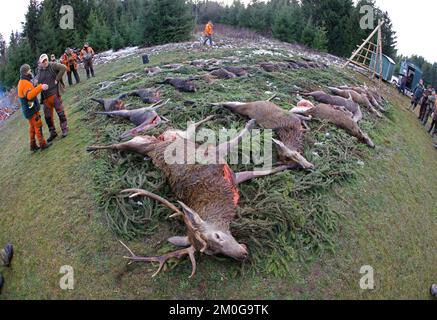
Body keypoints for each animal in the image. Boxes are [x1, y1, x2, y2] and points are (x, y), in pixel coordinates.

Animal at [87, 117, 292, 278]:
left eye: (218, 236)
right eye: (214, 252)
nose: (242, 254)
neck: (222, 200)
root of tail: (158, 141)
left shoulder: (218, 158)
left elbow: (248, 153)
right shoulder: (231, 175)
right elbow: (258, 170)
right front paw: (288, 164)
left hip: (154, 140)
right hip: (147, 142)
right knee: (121, 144)